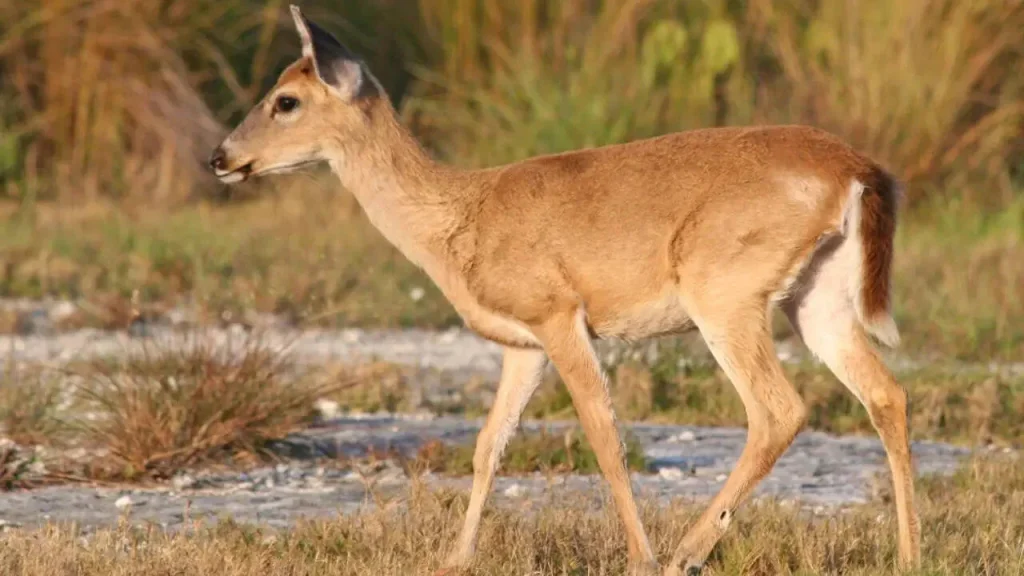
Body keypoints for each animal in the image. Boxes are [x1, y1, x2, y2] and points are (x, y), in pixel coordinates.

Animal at [209, 6, 920, 575]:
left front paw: (639, 557)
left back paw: (684, 553)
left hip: (724, 292)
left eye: (286, 100)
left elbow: (604, 434)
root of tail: (857, 169)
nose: (220, 157)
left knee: (778, 409)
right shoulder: (521, 344)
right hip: (816, 298)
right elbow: (488, 445)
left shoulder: (558, 314)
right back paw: (909, 554)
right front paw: (456, 557)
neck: (458, 220)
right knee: (886, 393)